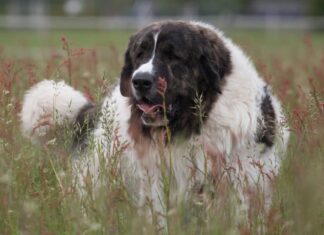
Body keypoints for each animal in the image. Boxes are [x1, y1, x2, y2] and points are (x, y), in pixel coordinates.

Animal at [20, 20, 288, 226]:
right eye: (140, 54)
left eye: (173, 56)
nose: (140, 81)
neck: (195, 124)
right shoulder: (157, 185)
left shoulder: (244, 182)